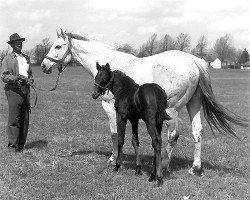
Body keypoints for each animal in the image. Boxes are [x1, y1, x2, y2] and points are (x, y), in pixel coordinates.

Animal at [40, 30, 246, 176]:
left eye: (58, 46)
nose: (43, 65)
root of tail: (194, 61)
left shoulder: (110, 108)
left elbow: (115, 134)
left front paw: (113, 158)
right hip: (193, 105)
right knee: (197, 132)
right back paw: (195, 168)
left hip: (172, 110)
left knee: (173, 136)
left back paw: (164, 164)